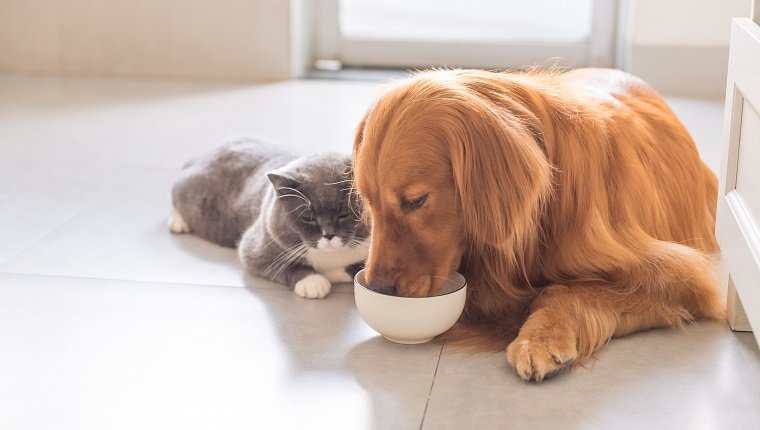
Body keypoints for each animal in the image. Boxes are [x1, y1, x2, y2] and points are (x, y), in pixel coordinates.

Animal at [168, 138, 368, 298]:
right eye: (308, 217)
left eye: (344, 214)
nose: (328, 235)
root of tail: (202, 155)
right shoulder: (256, 248)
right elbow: (287, 266)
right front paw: (312, 282)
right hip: (193, 195)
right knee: (175, 189)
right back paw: (178, 223)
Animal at [354, 69, 720, 382]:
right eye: (369, 202)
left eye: (415, 201)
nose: (378, 287)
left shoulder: (681, 277)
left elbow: (565, 289)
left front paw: (539, 339)